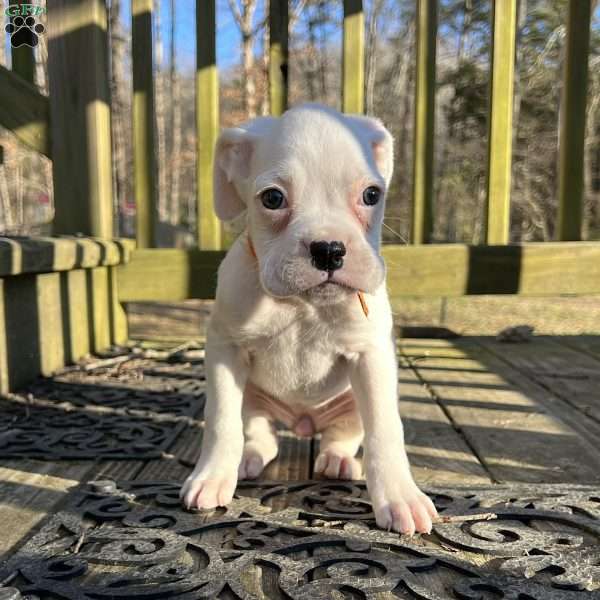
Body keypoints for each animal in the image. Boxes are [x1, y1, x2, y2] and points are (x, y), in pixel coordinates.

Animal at [180, 103, 438, 536]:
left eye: (371, 194)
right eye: (272, 198)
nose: (329, 249)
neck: (301, 305)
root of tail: (302, 422)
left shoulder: (371, 358)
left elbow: (385, 430)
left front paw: (400, 495)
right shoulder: (224, 351)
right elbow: (220, 421)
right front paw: (213, 475)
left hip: (350, 403)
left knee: (343, 435)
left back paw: (336, 459)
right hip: (253, 396)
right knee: (260, 433)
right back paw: (248, 458)